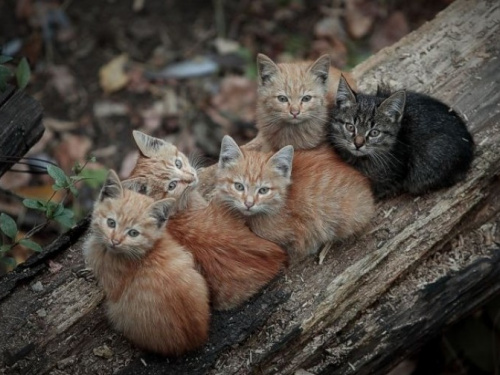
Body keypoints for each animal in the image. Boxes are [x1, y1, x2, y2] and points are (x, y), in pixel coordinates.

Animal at [84, 170, 209, 356]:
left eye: (133, 233)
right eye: (111, 223)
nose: (115, 241)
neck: (145, 252)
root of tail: (194, 340)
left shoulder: (112, 287)